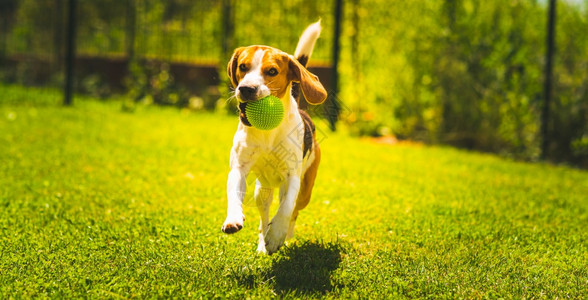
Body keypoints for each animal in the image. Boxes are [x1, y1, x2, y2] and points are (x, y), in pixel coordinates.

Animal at [223, 21, 328, 254]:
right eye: (243, 67)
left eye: (272, 71)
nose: (246, 88)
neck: (267, 131)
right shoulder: (239, 168)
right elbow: (233, 194)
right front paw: (233, 219)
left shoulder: (292, 176)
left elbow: (286, 208)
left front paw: (278, 233)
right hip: (262, 191)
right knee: (264, 217)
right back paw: (263, 241)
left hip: (305, 191)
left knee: (293, 210)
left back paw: (285, 234)